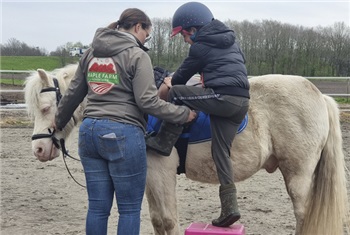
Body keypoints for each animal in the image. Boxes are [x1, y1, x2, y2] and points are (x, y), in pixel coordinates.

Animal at [23, 63, 348, 235]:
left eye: (47, 107)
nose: (38, 149)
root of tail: (319, 95)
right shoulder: (148, 176)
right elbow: (157, 220)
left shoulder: (160, 173)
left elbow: (168, 219)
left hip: (298, 175)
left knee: (303, 214)